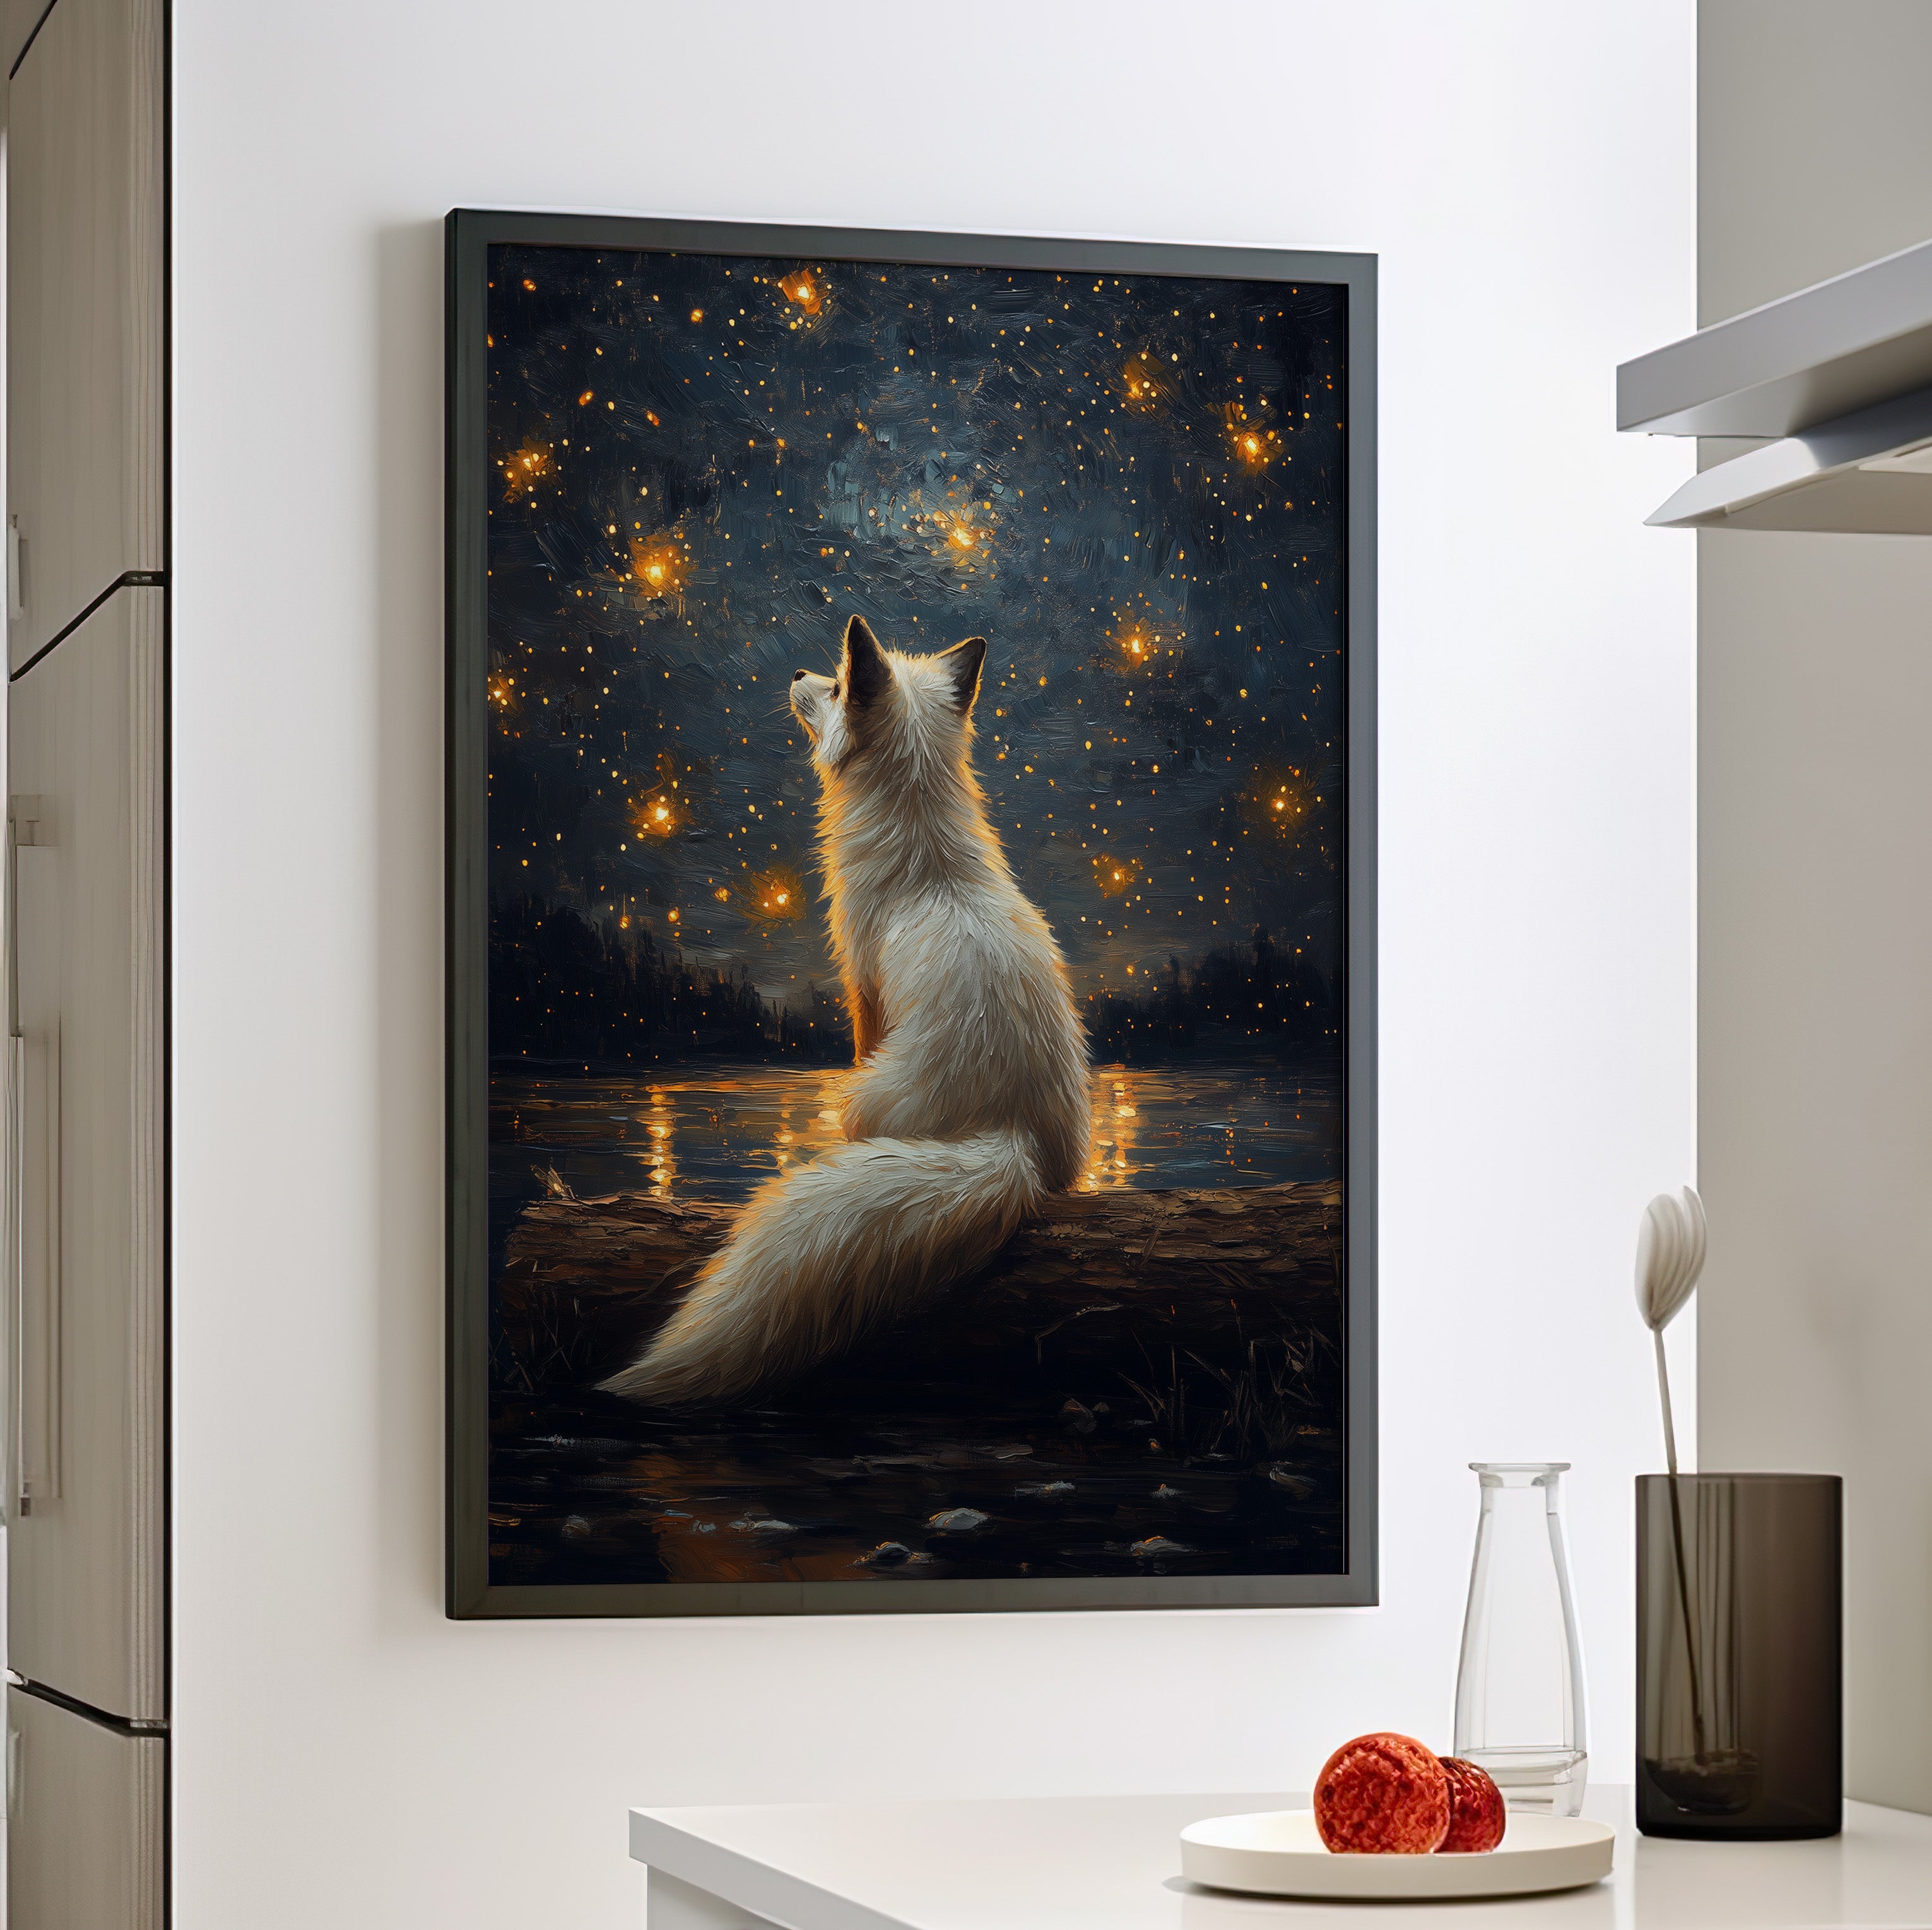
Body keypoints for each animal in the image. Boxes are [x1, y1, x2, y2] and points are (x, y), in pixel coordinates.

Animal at [599, 614, 1092, 1407]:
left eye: (834, 685)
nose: (797, 670)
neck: (925, 852)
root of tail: (1012, 1136)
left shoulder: (862, 985)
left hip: (858, 1096)